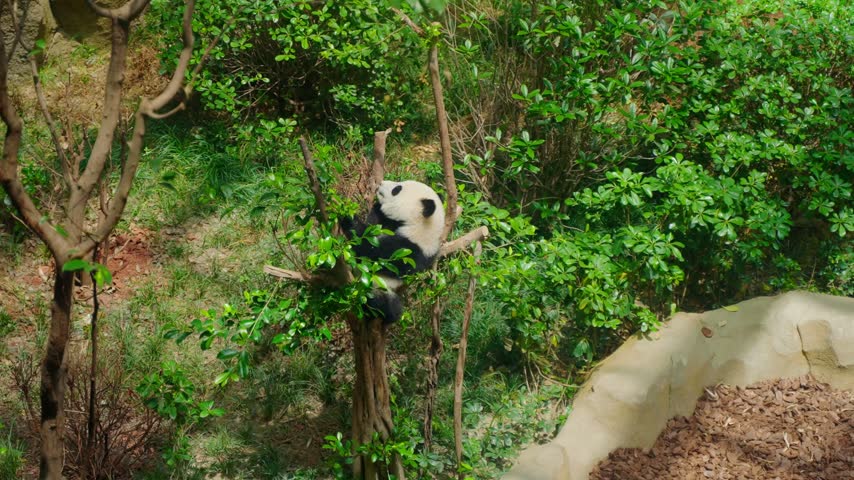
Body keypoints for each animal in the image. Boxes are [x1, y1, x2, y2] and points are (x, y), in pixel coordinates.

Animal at [341, 180, 445, 324]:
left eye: (397, 189)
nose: (381, 182)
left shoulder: (410, 249)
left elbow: (375, 253)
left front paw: (350, 220)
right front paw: (376, 207)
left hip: (376, 286)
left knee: (385, 304)